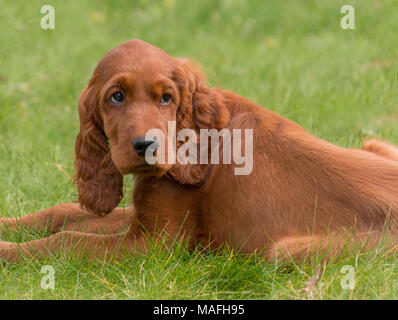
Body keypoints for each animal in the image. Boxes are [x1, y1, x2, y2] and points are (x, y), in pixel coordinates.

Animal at [0, 39, 398, 262]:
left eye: (166, 98)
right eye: (116, 96)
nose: (146, 146)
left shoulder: (156, 245)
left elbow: (69, 239)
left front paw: (8, 252)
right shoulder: (143, 220)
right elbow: (65, 213)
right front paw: (8, 227)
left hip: (284, 252)